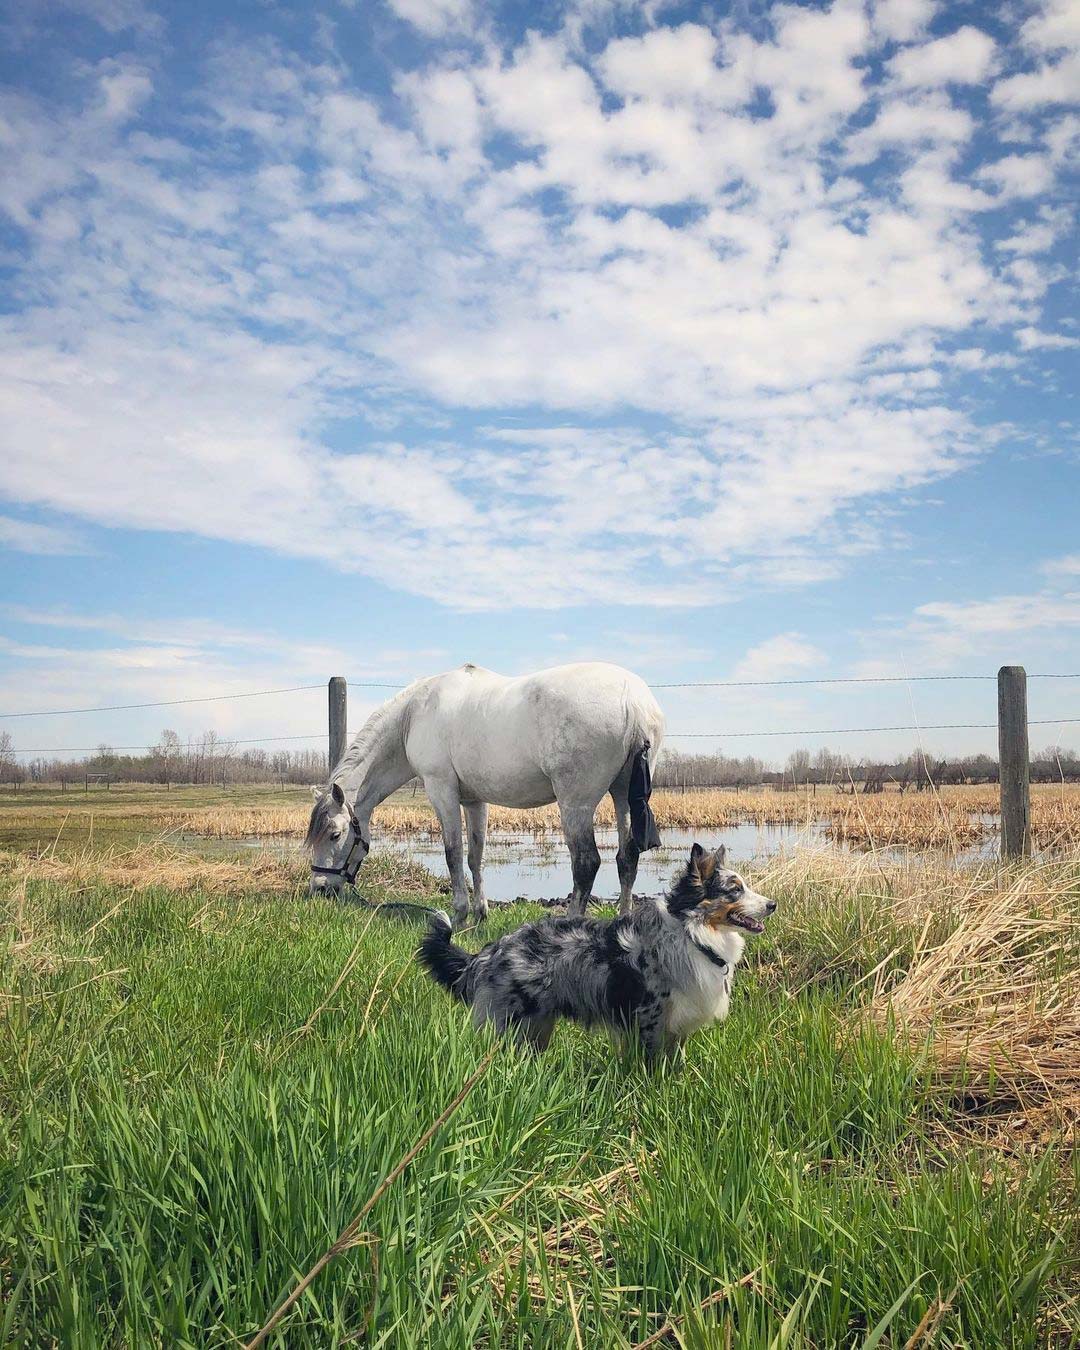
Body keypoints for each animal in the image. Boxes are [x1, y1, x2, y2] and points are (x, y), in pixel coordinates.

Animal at [299, 658, 661, 923]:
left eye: (334, 834)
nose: (320, 888)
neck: (413, 716)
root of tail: (634, 703)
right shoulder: (474, 801)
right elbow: (475, 855)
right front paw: (479, 913)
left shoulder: (441, 789)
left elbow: (453, 852)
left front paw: (459, 913)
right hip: (622, 795)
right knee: (626, 857)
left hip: (576, 803)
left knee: (586, 863)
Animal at [415, 842, 777, 1053]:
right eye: (735, 890)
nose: (773, 904)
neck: (692, 933)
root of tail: (491, 951)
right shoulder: (649, 1018)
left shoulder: (677, 1024)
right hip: (507, 1023)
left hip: (537, 1026)